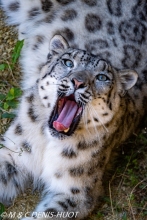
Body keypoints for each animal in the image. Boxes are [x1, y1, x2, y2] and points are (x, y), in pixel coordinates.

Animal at [0, 0, 147, 220]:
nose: (78, 82)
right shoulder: (13, 152)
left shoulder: (76, 192)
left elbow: (48, 214)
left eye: (102, 77)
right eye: (68, 62)